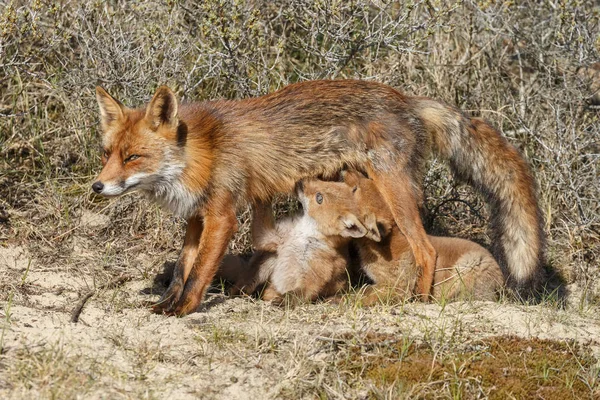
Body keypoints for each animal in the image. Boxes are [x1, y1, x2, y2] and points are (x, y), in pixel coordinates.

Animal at [92, 79, 544, 314]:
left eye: (133, 157)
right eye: (107, 153)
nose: (97, 187)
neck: (201, 152)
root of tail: (408, 99)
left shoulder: (222, 216)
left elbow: (199, 273)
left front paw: (185, 310)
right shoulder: (195, 217)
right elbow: (182, 268)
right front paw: (165, 305)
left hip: (394, 190)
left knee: (426, 250)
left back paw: (418, 300)